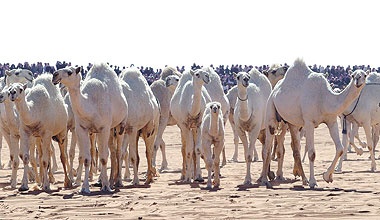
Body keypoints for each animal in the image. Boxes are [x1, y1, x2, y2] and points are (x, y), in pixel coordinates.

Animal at [52, 64, 129, 192]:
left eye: (69, 72)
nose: (54, 75)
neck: (91, 106)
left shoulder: (104, 128)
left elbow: (103, 157)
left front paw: (106, 187)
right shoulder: (82, 129)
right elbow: (87, 158)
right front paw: (84, 187)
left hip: (120, 125)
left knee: (118, 151)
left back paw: (118, 182)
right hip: (109, 129)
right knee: (112, 151)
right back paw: (108, 181)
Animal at [260, 58, 366, 189]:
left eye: (364, 75)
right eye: (352, 75)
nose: (357, 80)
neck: (324, 98)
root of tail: (274, 90)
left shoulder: (331, 121)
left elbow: (340, 148)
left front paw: (327, 176)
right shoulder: (309, 122)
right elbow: (312, 153)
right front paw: (313, 182)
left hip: (291, 123)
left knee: (295, 148)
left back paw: (302, 179)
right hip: (271, 111)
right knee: (267, 148)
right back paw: (265, 180)